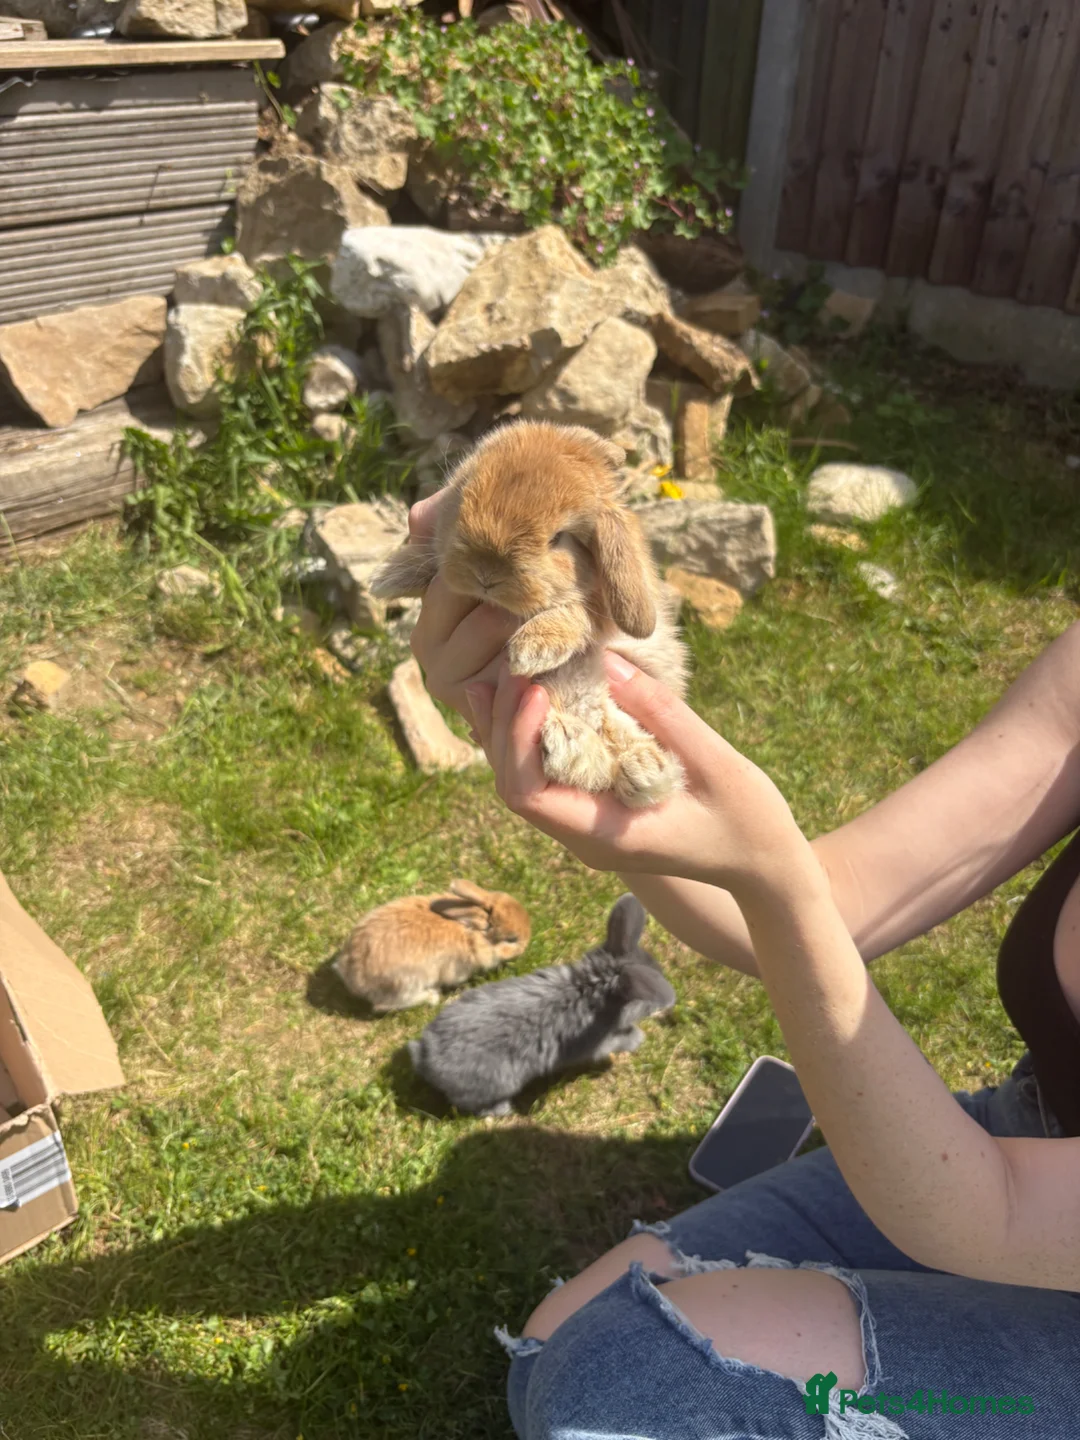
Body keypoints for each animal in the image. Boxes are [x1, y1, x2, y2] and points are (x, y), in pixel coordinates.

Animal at [332, 879, 530, 1012]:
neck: (470, 932)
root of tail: (352, 977)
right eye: (512, 939)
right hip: (407, 982)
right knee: (385, 1005)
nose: (526, 944)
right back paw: (432, 996)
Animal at [372, 420, 689, 809]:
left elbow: (575, 614)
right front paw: (388, 578)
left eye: (558, 538)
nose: (486, 573)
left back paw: (632, 766)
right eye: (461, 499)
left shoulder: (600, 617)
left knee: (620, 753)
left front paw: (531, 650)